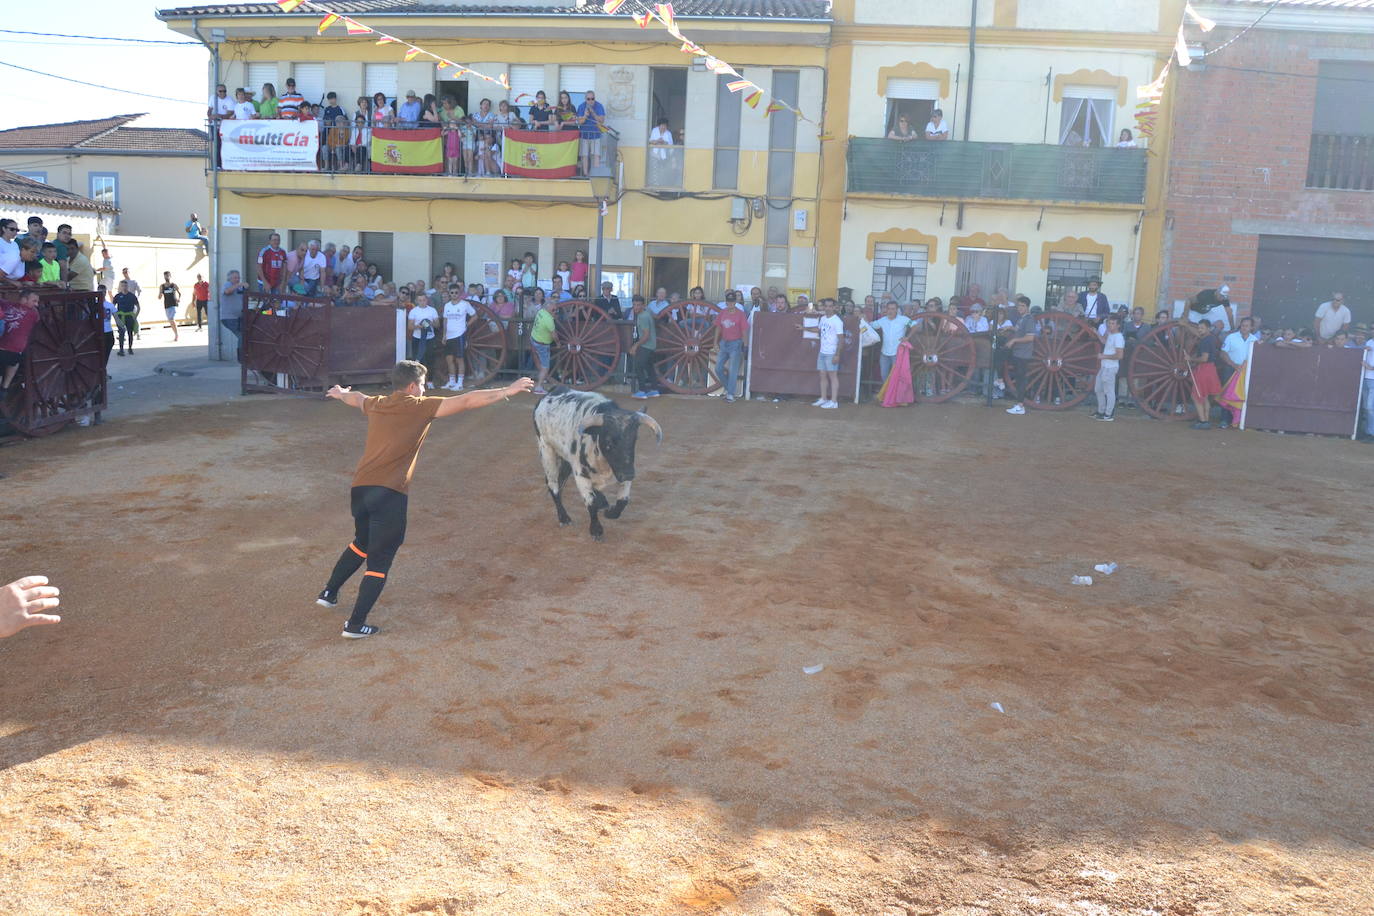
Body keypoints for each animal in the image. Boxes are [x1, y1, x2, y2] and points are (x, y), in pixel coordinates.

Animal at [533, 384, 662, 541]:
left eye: (634, 440)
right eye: (609, 441)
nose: (629, 474)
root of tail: (551, 392)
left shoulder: (623, 467)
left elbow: (622, 500)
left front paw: (610, 512)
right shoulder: (581, 473)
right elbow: (591, 502)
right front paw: (596, 530)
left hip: (565, 459)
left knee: (560, 479)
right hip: (546, 450)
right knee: (553, 484)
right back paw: (564, 518)